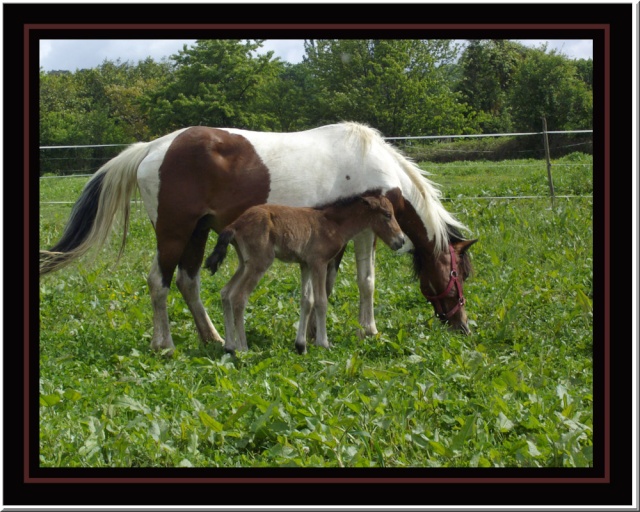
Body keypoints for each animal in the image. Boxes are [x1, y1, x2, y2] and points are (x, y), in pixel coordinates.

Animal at [205, 190, 404, 354]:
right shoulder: (319, 263)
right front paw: (323, 343)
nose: (400, 241)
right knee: (239, 296)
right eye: (388, 215)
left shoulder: (305, 265)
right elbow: (321, 301)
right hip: (259, 263)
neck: (332, 224)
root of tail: (235, 225)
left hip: (244, 264)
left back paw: (229, 346)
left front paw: (301, 345)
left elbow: (307, 301)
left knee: (226, 292)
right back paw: (243, 347)